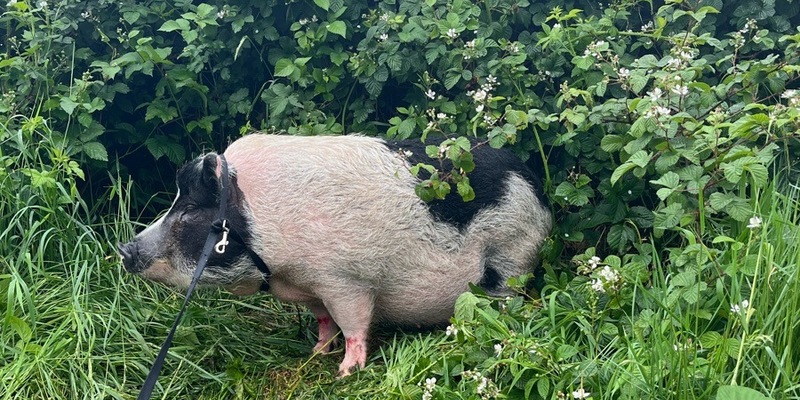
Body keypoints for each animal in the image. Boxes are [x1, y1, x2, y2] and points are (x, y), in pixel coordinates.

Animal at [118, 134, 552, 377]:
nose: (124, 248)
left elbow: (354, 323)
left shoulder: (345, 279)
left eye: (191, 210)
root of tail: (534, 184)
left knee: (506, 294)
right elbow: (325, 320)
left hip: (512, 251)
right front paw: (314, 353)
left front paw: (344, 373)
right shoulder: (310, 287)